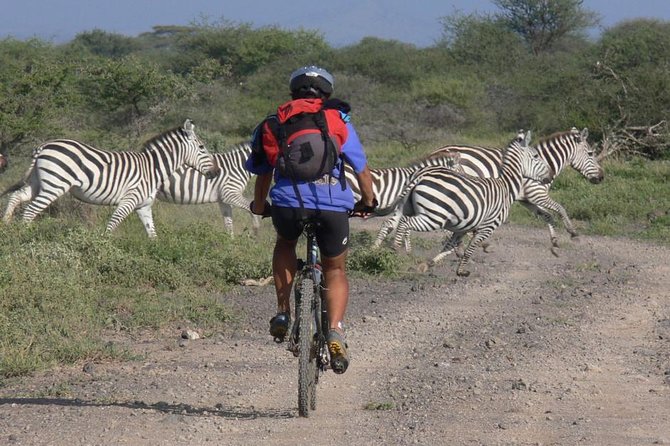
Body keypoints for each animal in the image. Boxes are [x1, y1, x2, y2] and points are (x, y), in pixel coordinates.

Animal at [1, 118, 219, 237]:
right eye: (202, 147)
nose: (216, 173)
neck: (153, 168)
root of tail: (44, 146)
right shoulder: (128, 200)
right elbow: (112, 225)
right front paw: (102, 249)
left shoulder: (144, 206)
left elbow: (152, 234)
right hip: (55, 185)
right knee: (30, 211)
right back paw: (24, 237)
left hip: (39, 183)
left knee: (16, 197)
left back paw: (6, 227)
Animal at [378, 129, 604, 254]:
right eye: (591, 153)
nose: (601, 178)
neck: (543, 162)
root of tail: (437, 151)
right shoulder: (536, 192)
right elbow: (560, 208)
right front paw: (573, 233)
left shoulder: (527, 200)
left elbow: (547, 215)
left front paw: (555, 242)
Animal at [392, 129, 552, 276]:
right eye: (536, 156)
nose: (550, 176)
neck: (506, 186)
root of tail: (421, 175)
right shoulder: (487, 227)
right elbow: (470, 248)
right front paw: (461, 271)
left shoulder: (462, 228)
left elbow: (449, 246)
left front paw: (428, 264)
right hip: (434, 217)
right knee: (405, 223)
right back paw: (395, 249)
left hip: (418, 211)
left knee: (402, 220)